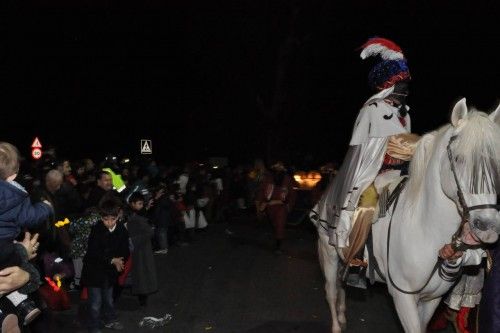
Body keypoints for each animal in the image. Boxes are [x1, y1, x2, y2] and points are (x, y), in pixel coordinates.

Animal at [312, 98, 500, 332]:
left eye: (497, 163)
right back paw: (337, 324)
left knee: (341, 285)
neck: (426, 231)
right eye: (459, 158)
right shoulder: (403, 298)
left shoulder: (431, 300)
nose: (488, 227)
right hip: (328, 252)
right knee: (331, 290)